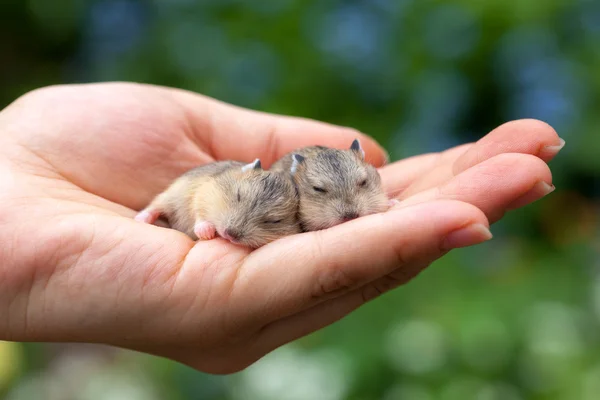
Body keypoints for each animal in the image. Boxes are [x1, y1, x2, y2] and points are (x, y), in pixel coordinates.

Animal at [138, 159, 302, 247]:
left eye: (275, 221)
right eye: (238, 195)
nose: (230, 235)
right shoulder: (201, 195)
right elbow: (200, 215)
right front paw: (207, 234)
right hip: (170, 195)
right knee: (154, 206)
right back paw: (141, 219)